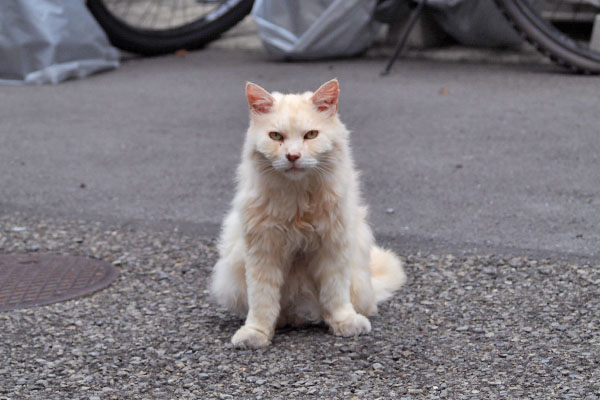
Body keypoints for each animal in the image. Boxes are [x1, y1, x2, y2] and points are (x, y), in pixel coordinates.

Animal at [212, 79, 408, 348]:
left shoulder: (332, 247)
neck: (298, 201)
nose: (293, 156)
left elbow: (335, 295)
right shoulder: (263, 250)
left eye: (311, 135)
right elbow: (262, 299)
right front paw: (256, 333)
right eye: (276, 136)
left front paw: (345, 323)